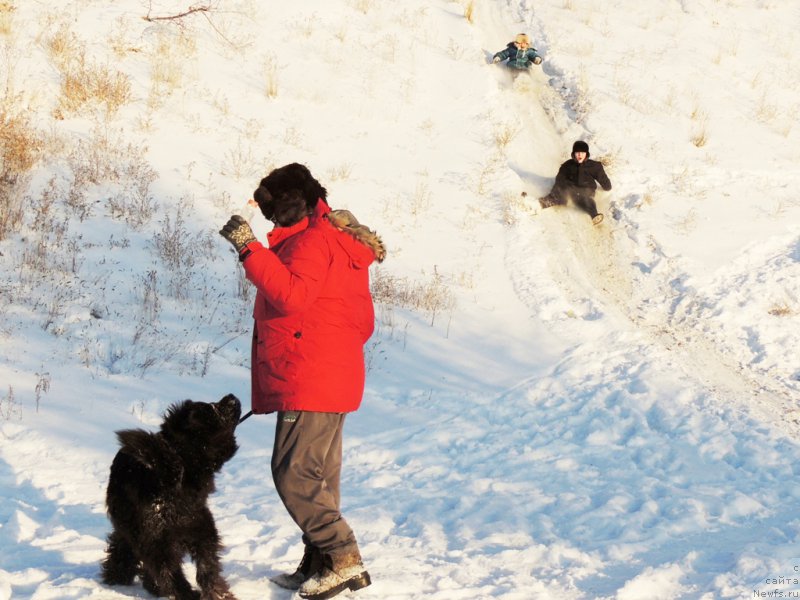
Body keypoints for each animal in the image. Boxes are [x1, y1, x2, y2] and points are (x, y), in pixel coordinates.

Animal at [101, 394, 242, 600]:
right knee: (190, 570)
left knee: (178, 571)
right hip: (189, 530)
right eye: (212, 409)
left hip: (170, 533)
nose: (231, 397)